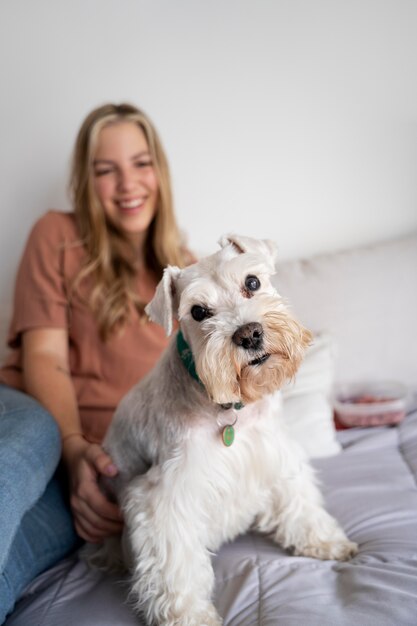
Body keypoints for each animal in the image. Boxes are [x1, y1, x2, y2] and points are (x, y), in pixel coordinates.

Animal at [92, 235, 358, 624]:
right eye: (198, 312)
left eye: (252, 282)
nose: (249, 334)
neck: (229, 408)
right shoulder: (163, 498)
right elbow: (175, 563)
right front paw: (190, 615)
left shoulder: (275, 453)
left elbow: (299, 501)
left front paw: (325, 540)